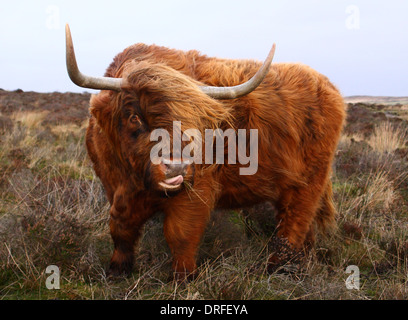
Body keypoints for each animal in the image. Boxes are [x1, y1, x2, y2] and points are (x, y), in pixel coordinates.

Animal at [66, 24, 344, 278]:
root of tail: (326, 85)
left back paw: (279, 268)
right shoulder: (113, 185)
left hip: (309, 181)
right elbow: (120, 226)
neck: (134, 179)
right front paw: (117, 269)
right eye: (134, 116)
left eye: (196, 121)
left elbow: (180, 233)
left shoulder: (196, 188)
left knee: (295, 221)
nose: (176, 166)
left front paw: (183, 278)